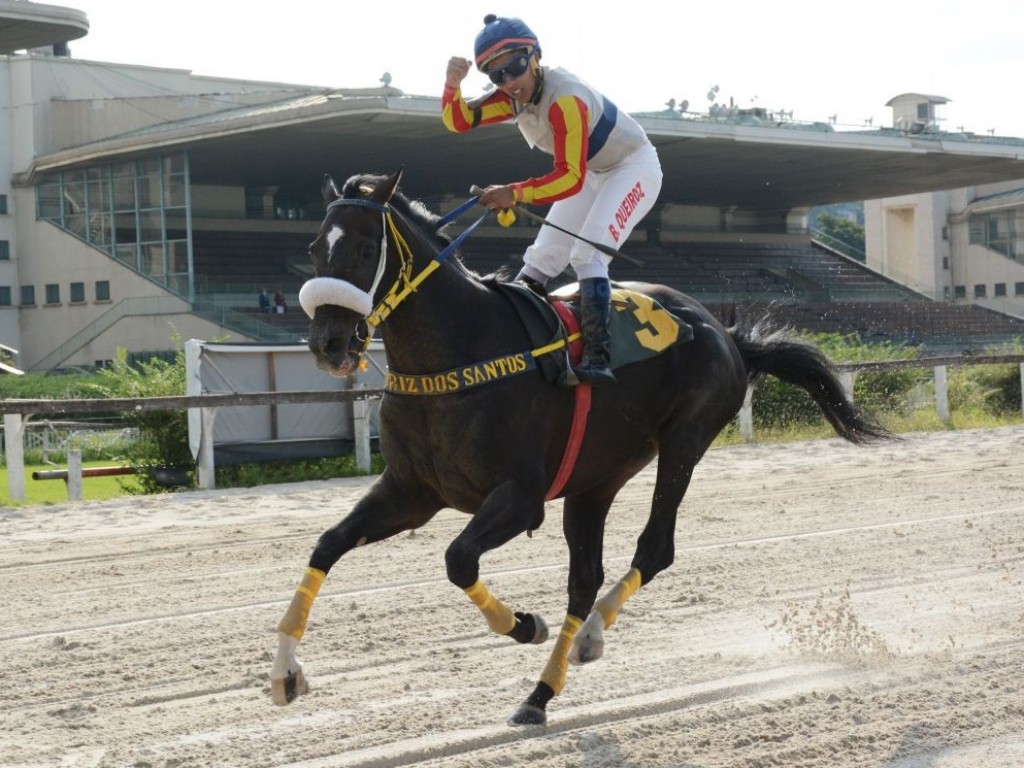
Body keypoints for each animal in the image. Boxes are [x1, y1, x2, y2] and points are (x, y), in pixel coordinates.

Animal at [270, 167, 888, 729]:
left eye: (366, 247)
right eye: (314, 247)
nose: (327, 344)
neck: (458, 352)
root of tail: (724, 331)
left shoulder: (520, 498)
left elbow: (458, 558)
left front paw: (524, 624)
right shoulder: (411, 491)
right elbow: (327, 544)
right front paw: (284, 674)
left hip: (683, 443)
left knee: (652, 551)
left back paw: (577, 650)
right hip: (596, 480)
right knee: (585, 577)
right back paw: (546, 687)